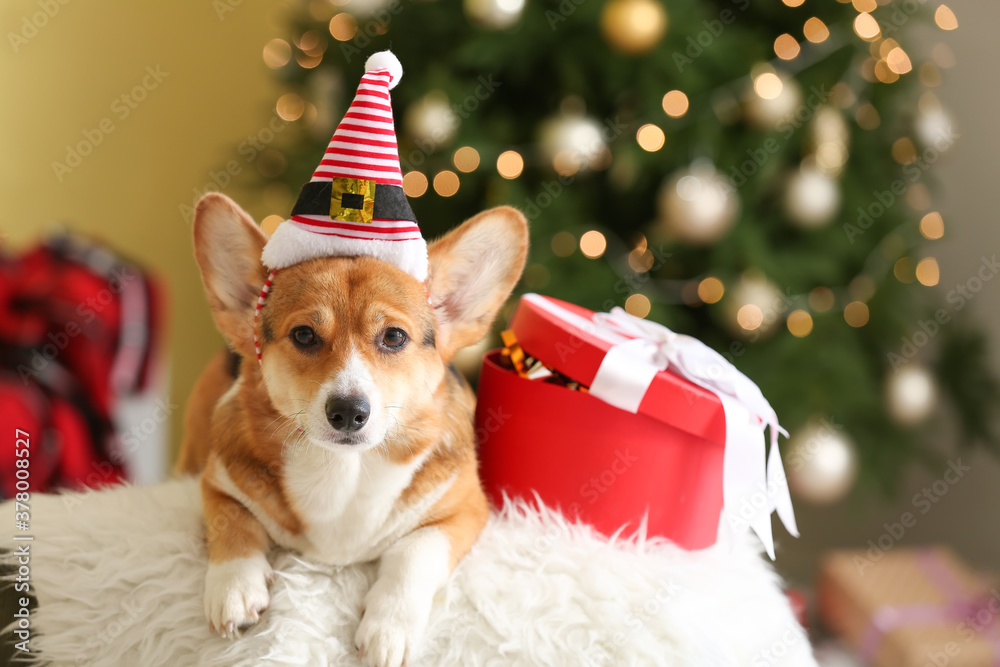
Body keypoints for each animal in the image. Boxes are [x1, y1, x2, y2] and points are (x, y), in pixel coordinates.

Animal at [177, 189, 528, 667]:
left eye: (394, 337)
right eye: (304, 335)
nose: (347, 412)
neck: (343, 468)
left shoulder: (464, 510)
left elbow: (415, 553)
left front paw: (388, 629)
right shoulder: (217, 482)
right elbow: (232, 523)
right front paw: (234, 588)